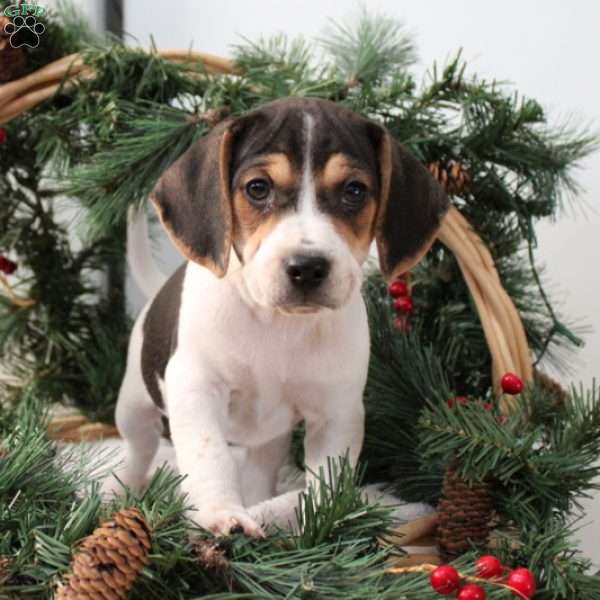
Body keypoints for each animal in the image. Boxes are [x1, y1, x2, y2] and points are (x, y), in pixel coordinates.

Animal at [105, 96, 448, 536]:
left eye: (354, 191)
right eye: (258, 188)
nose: (307, 268)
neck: (278, 324)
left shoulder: (337, 412)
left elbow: (327, 479)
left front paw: (320, 522)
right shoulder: (197, 389)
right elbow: (209, 457)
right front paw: (219, 514)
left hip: (269, 438)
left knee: (258, 471)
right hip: (135, 404)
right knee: (138, 449)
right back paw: (120, 491)